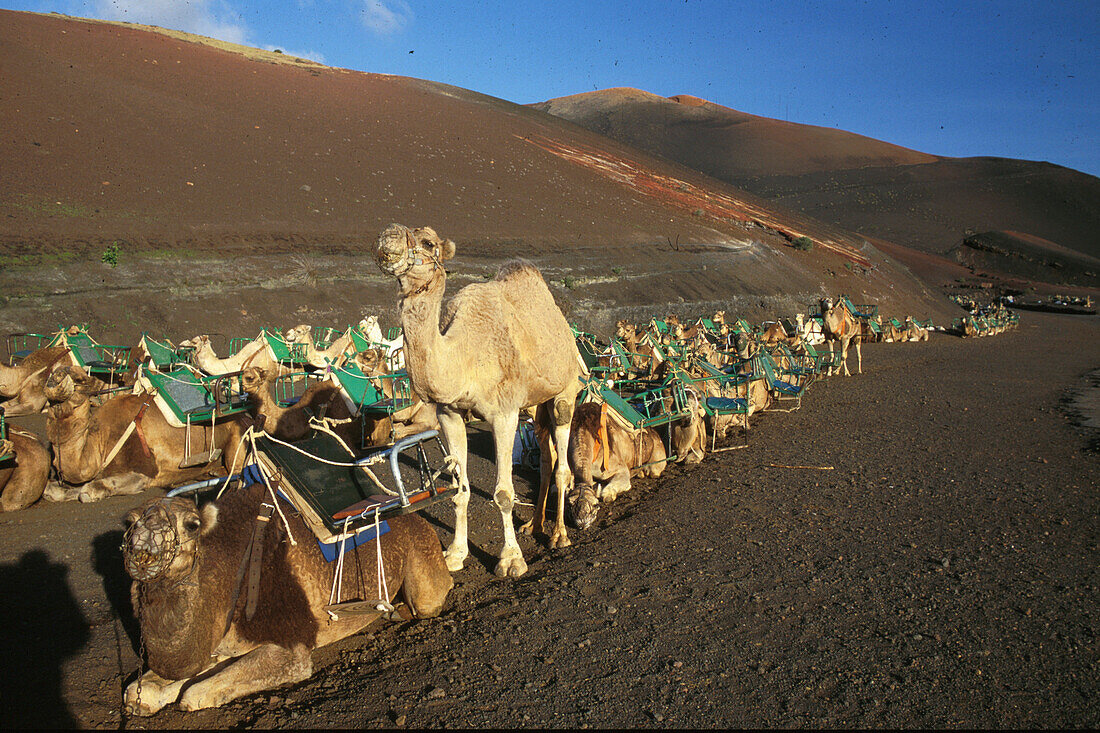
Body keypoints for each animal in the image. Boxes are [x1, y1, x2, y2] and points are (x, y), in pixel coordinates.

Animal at [43, 365, 247, 501]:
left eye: (80, 380)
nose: (54, 377)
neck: (101, 440)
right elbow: (52, 490)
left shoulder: (144, 471)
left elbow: (89, 490)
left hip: (237, 437)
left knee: (237, 470)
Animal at [124, 484, 455, 713]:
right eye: (130, 522)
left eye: (191, 525)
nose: (143, 547)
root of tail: (419, 518)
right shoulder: (219, 641)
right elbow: (144, 687)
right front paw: (145, 697)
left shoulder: (292, 647)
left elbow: (195, 693)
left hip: (423, 562)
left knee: (430, 597)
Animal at [374, 222, 585, 576]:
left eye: (428, 242)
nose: (387, 237)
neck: (463, 355)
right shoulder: (449, 414)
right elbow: (460, 491)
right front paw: (456, 554)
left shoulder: (504, 414)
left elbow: (503, 493)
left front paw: (511, 559)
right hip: (534, 405)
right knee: (546, 456)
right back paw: (534, 526)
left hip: (565, 390)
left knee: (562, 464)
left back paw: (559, 536)